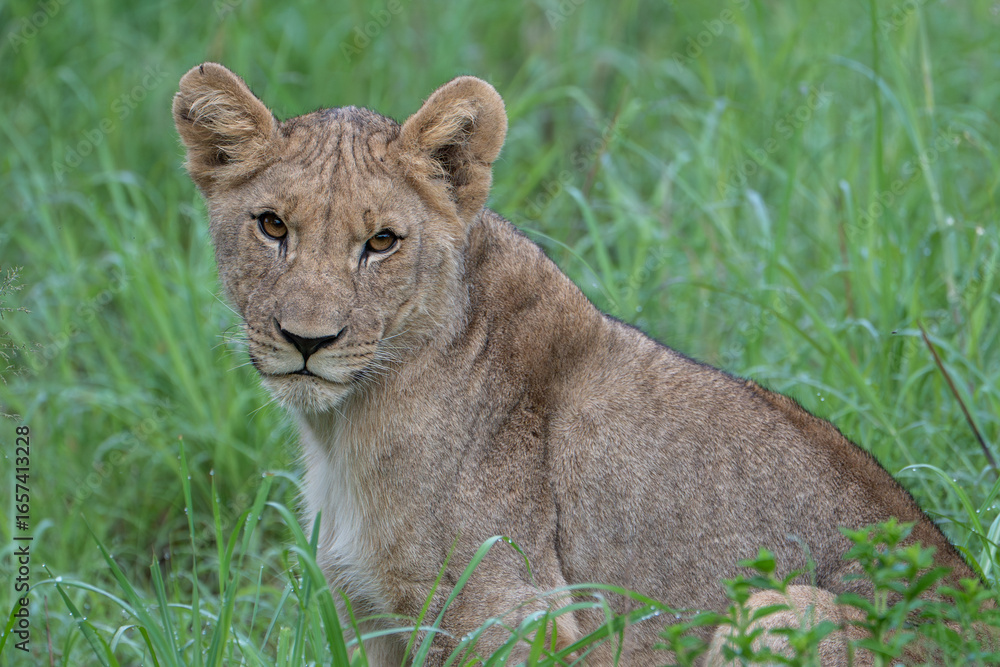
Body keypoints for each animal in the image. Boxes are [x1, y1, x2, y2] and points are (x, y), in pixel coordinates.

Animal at [173, 63, 979, 665]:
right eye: (272, 226)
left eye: (381, 242)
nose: (307, 339)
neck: (344, 427)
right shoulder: (374, 618)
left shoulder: (510, 613)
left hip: (784, 605)